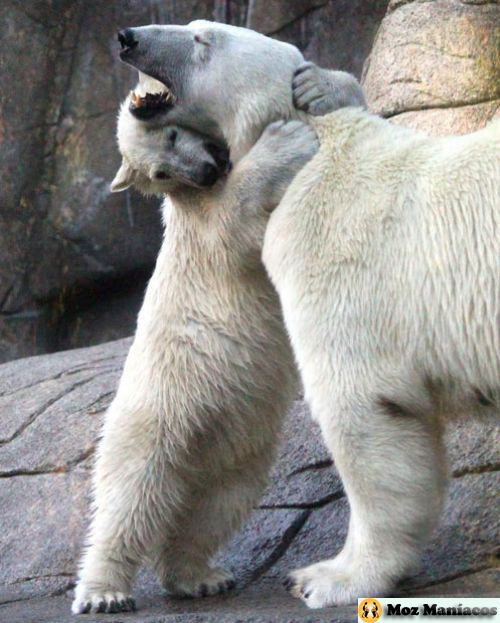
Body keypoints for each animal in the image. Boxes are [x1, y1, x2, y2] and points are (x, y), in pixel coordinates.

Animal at [71, 90, 320, 613]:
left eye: (172, 136)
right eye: (161, 173)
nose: (207, 169)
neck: (196, 190)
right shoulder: (200, 223)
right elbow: (235, 224)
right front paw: (285, 138)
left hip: (231, 441)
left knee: (218, 503)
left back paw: (199, 577)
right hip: (156, 412)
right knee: (128, 496)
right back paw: (104, 592)